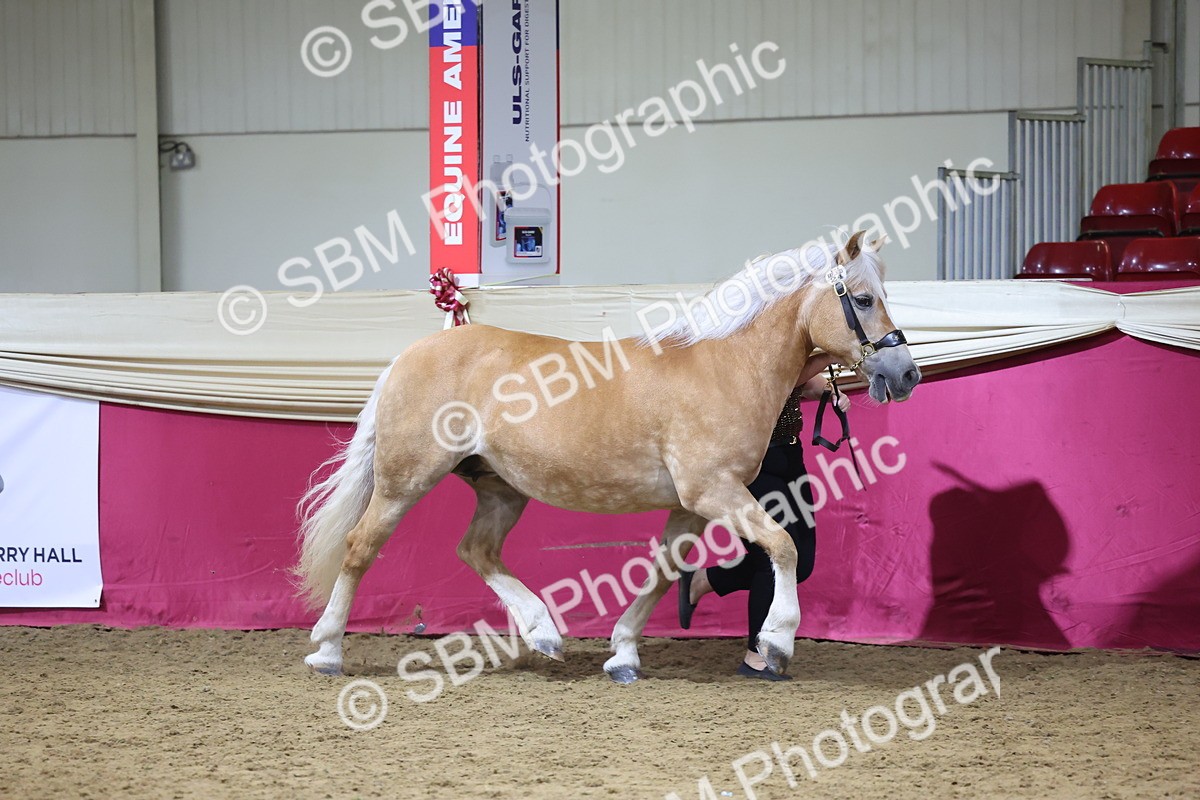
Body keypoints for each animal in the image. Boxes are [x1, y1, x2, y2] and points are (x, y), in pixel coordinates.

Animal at [295, 230, 921, 682]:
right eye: (863, 299)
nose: (905, 374)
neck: (724, 364)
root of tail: (410, 355)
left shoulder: (691, 505)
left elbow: (666, 571)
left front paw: (622, 654)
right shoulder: (714, 491)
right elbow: (785, 546)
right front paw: (778, 640)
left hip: (501, 487)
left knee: (477, 550)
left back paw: (544, 632)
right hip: (405, 480)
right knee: (360, 548)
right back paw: (326, 651)